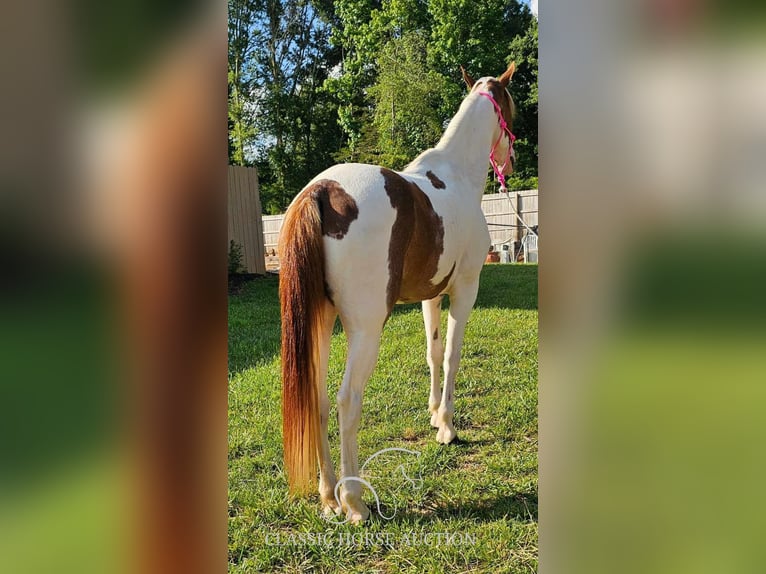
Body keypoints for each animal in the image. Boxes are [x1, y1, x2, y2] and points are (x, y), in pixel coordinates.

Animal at [280, 63, 520, 528]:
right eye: (512, 108)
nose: (513, 160)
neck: (456, 175)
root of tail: (321, 191)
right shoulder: (465, 289)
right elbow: (453, 355)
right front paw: (446, 426)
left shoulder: (432, 295)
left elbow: (433, 351)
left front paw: (432, 413)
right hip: (365, 330)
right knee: (347, 401)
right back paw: (354, 501)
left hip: (320, 322)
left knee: (318, 399)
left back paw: (329, 497)